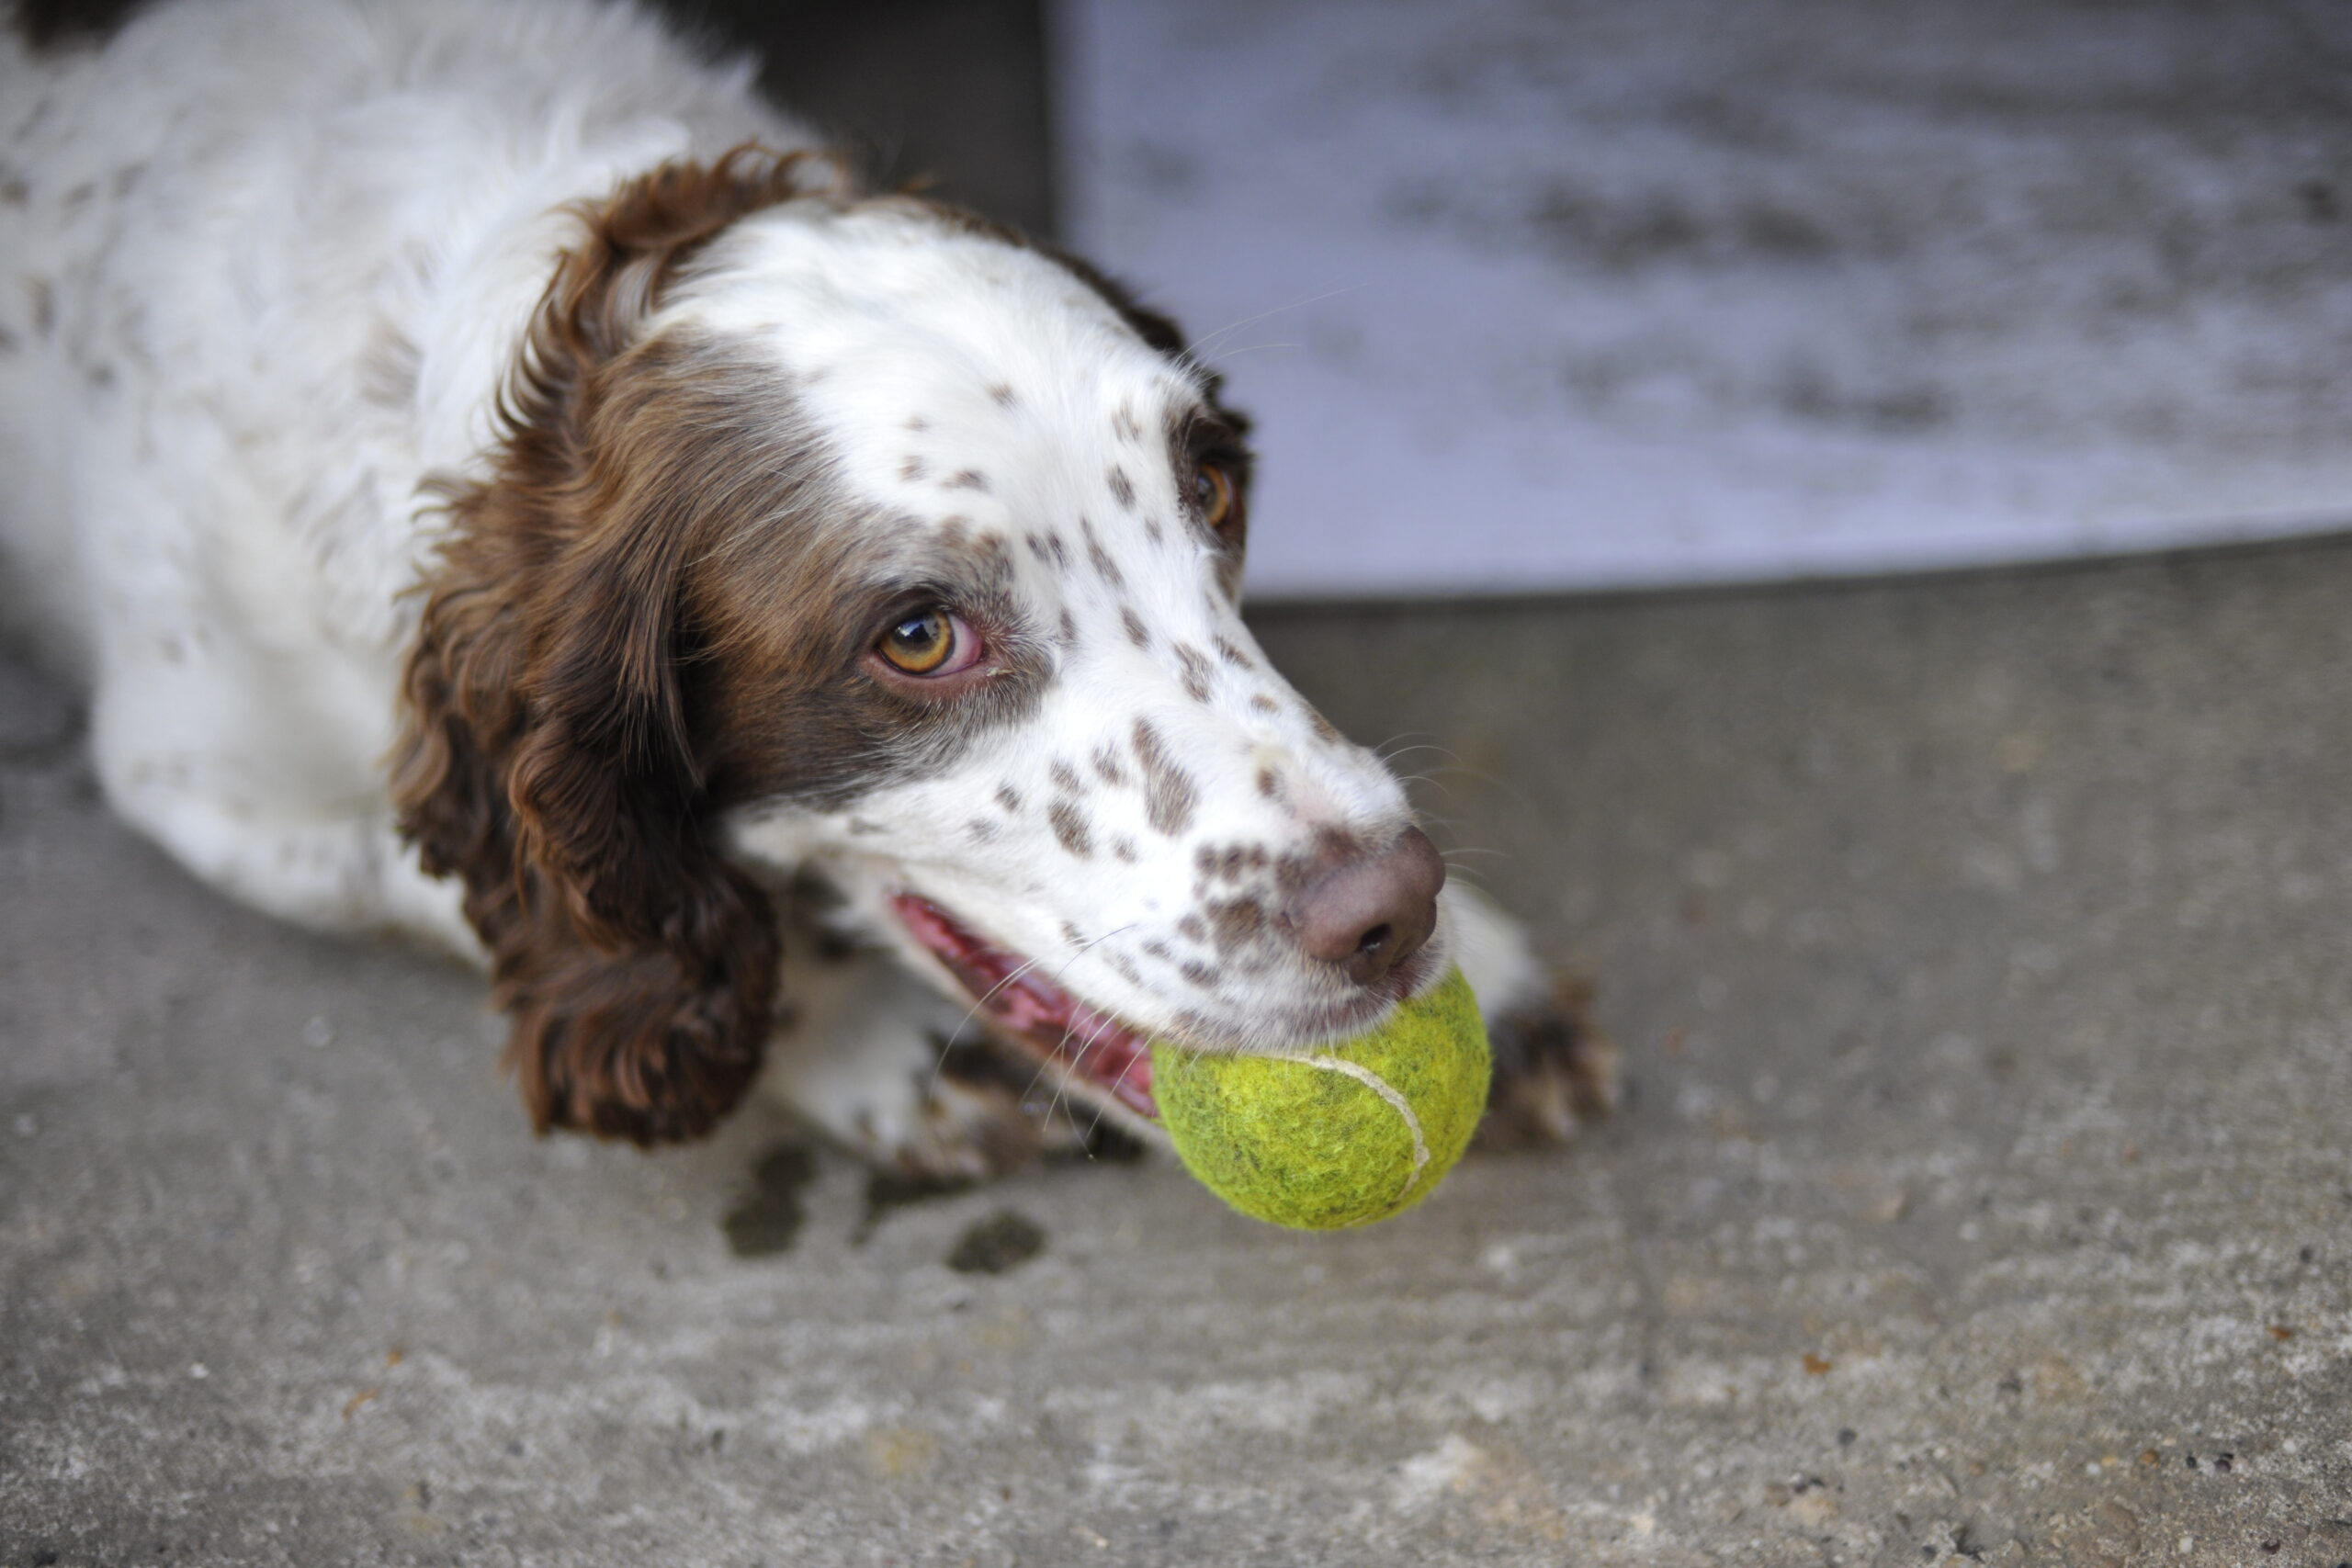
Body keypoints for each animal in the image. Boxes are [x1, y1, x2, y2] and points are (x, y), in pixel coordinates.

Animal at [0, 0, 1609, 1175]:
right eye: (918, 636)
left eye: (1209, 491)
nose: (1393, 910)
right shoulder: (200, 779)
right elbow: (522, 893)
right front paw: (855, 1039)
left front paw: (1492, 974)